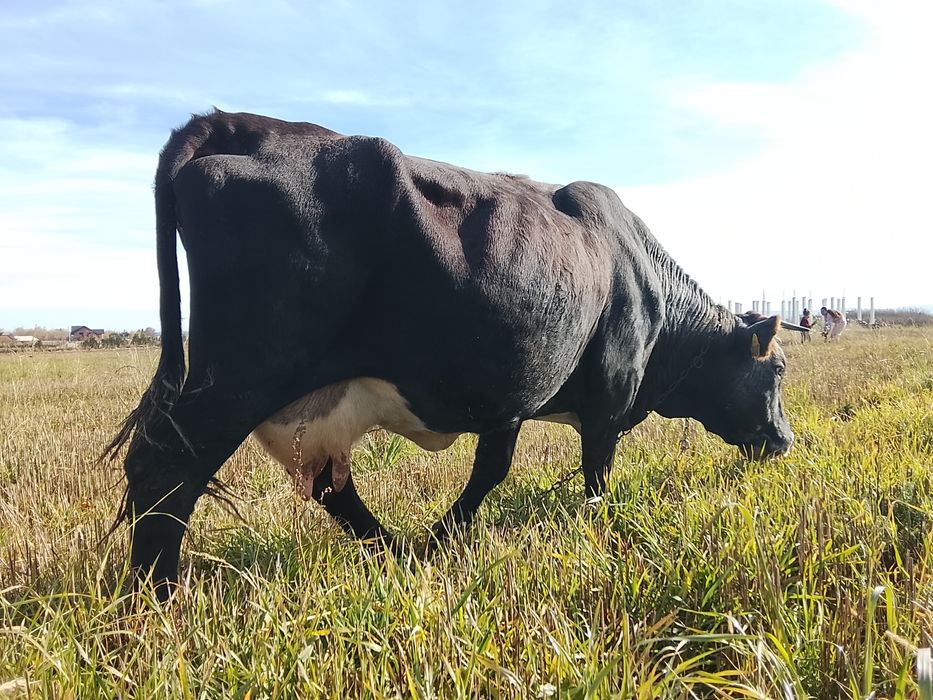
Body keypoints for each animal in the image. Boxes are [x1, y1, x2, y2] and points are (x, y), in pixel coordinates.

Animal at [106, 110, 807, 598]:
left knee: (329, 486)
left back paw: (395, 550)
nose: (784, 441)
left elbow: (491, 469)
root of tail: (239, 123)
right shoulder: (609, 396)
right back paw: (155, 598)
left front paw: (439, 541)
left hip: (299, 402)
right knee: (164, 469)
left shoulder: (509, 394)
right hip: (239, 379)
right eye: (776, 370)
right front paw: (593, 531)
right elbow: (593, 477)